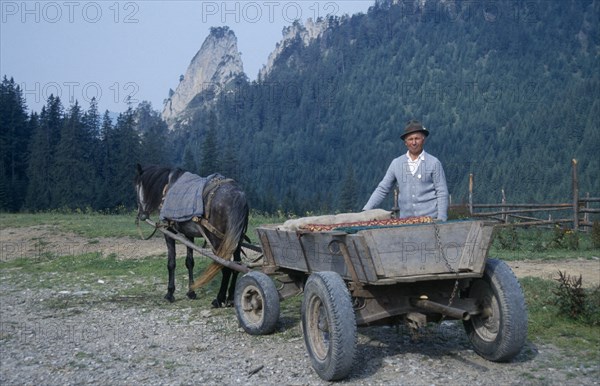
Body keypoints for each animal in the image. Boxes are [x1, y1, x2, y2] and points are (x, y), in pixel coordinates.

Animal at [135, 164, 250, 308]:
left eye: (137, 187)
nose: (141, 214)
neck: (168, 186)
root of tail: (237, 195)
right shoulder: (189, 235)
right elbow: (190, 262)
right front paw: (191, 292)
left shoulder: (169, 232)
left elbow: (171, 263)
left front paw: (170, 293)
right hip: (236, 240)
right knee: (236, 265)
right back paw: (230, 299)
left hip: (218, 241)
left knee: (225, 266)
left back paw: (219, 299)